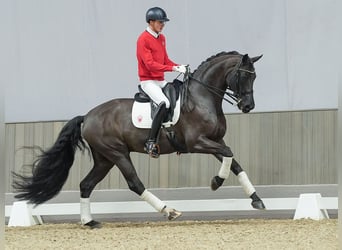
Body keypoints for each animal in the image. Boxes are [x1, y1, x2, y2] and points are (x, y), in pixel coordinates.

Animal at [13, 50, 264, 229]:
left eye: (255, 77)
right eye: (243, 75)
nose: (248, 106)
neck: (202, 98)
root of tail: (88, 116)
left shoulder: (215, 141)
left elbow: (234, 162)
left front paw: (256, 199)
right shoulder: (197, 143)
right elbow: (230, 155)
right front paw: (216, 182)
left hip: (104, 158)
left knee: (86, 185)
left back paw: (89, 222)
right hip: (118, 153)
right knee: (135, 183)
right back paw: (169, 211)